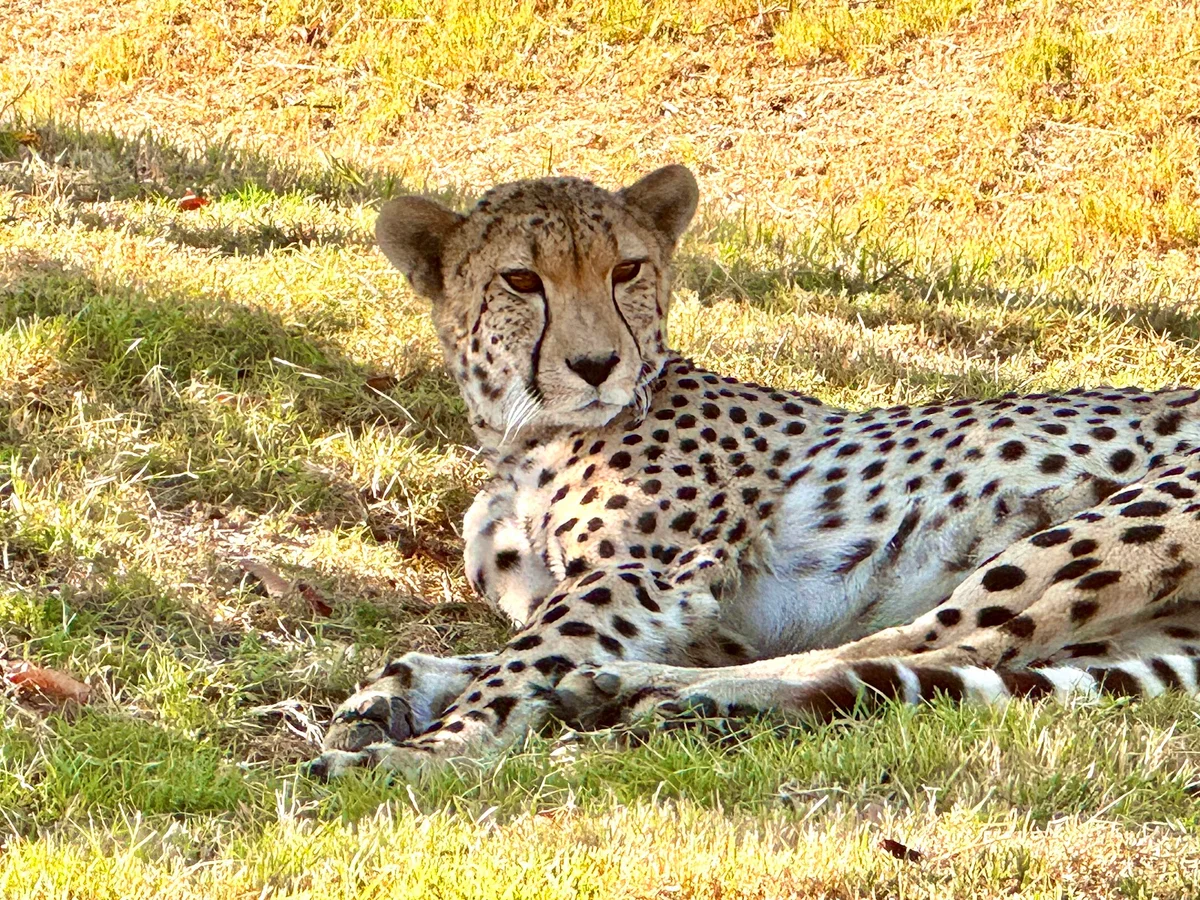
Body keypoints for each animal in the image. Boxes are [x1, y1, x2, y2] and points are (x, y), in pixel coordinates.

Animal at [305, 164, 1200, 780]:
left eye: (627, 269)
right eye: (521, 280)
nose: (596, 364)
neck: (526, 438)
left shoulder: (650, 575)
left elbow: (520, 662)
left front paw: (433, 750)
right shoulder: (682, 611)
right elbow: (506, 652)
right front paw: (398, 688)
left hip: (1117, 524)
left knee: (935, 642)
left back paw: (640, 690)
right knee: (964, 657)